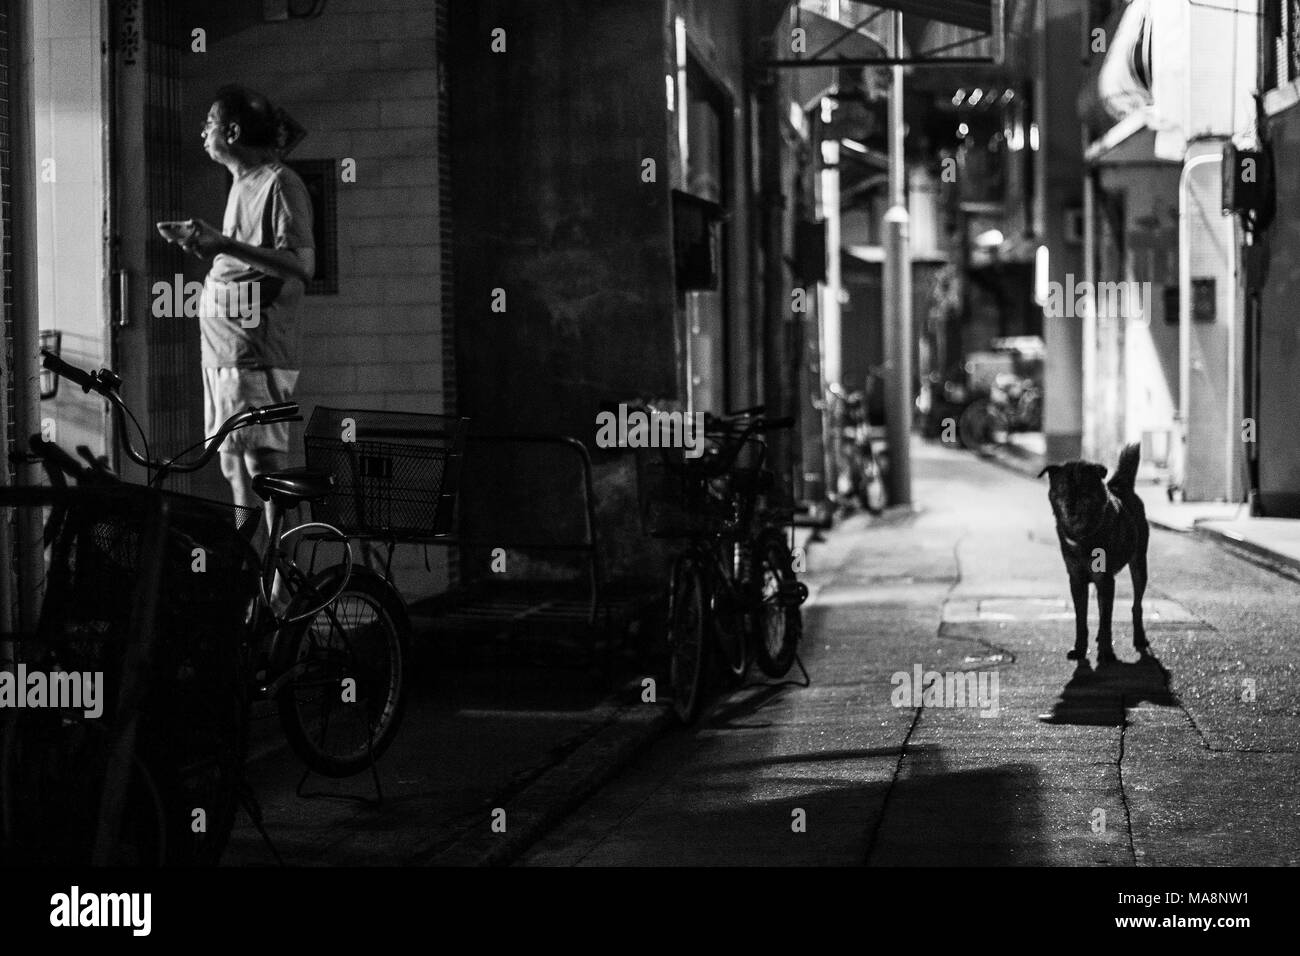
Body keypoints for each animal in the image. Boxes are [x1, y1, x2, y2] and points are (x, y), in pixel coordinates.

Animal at [1040, 442, 1154, 660]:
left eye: (1083, 488)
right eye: (1063, 487)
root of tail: (1120, 485)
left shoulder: (1106, 580)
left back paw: (1139, 637)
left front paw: (1106, 652)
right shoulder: (1076, 581)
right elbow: (1081, 619)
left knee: (1136, 605)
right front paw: (1080, 648)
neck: (1083, 535)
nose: (1070, 507)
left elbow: (1106, 620)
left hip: (1139, 565)